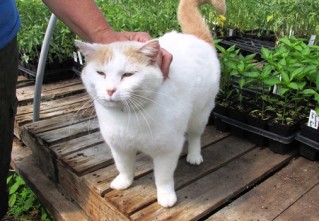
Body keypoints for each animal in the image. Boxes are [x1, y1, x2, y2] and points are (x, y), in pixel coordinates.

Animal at [75, 0, 225, 207]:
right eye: (101, 73)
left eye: (128, 75)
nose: (110, 90)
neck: (128, 115)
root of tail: (196, 38)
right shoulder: (119, 146)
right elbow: (123, 166)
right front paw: (124, 181)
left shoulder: (167, 150)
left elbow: (163, 177)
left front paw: (166, 196)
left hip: (200, 114)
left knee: (195, 136)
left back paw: (194, 156)